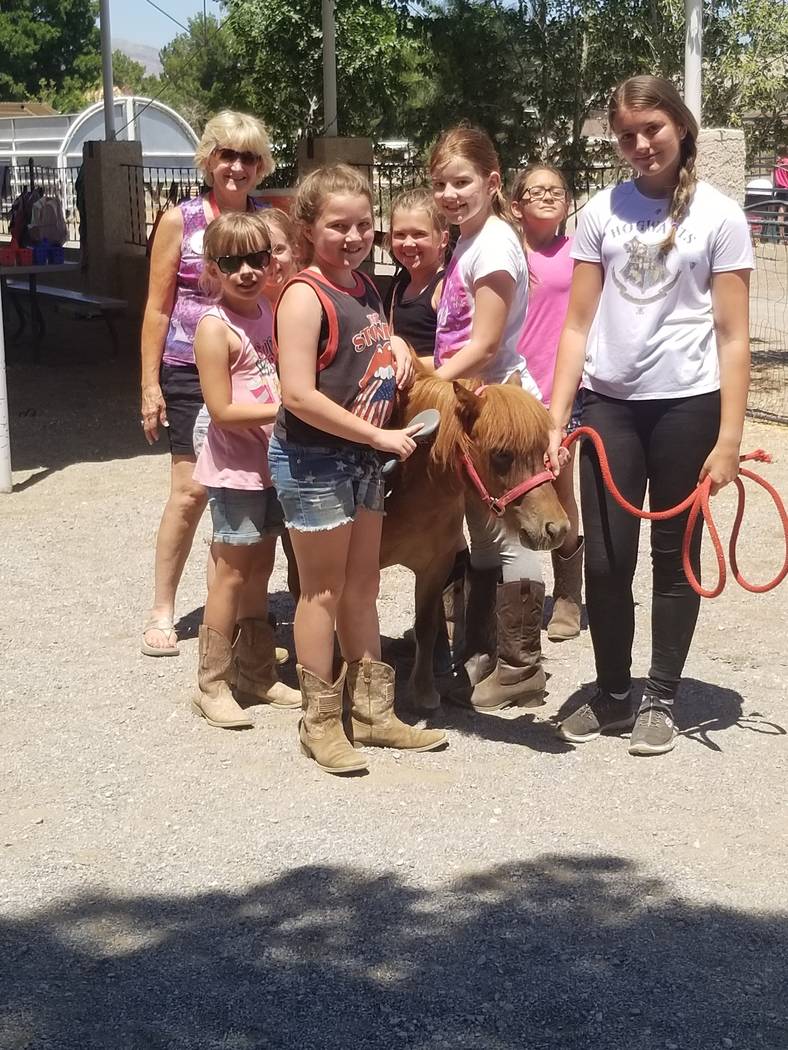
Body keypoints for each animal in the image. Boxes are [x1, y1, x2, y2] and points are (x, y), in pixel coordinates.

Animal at [380, 371, 571, 713]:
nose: (557, 528)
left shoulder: (435, 565)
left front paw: (424, 692)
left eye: (543, 449)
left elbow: (426, 626)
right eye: (501, 454)